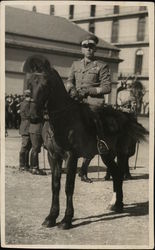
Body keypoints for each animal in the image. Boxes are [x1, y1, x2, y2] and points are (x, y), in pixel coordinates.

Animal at [28, 63, 148, 230]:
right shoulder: (53, 156)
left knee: (120, 174)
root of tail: (126, 115)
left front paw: (66, 220)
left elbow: (69, 187)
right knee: (116, 174)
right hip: (106, 155)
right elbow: (55, 186)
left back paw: (118, 204)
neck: (61, 120)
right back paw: (115, 205)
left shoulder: (71, 157)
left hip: (121, 153)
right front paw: (51, 217)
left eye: (45, 85)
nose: (33, 117)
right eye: (30, 84)